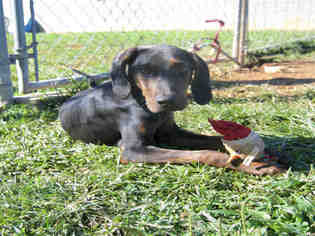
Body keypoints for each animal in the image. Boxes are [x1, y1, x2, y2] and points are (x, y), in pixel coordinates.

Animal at [59, 44, 286, 175]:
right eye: (144, 71)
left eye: (182, 68)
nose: (167, 101)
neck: (141, 103)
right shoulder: (132, 150)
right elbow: (202, 153)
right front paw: (253, 166)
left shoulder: (171, 133)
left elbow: (215, 140)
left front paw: (263, 154)